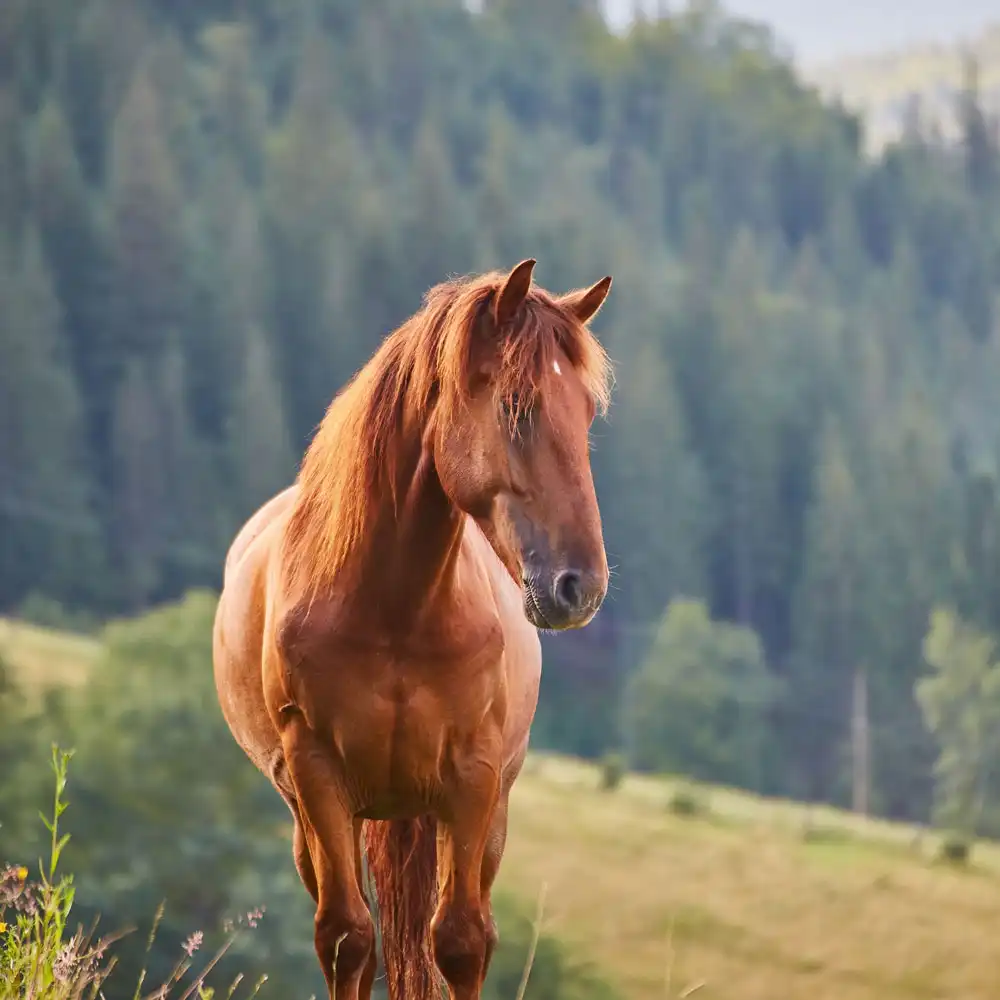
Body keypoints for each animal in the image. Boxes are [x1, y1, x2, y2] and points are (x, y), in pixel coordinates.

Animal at [212, 259, 613, 1000]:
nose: (582, 587)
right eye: (516, 406)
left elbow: (459, 942)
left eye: (587, 414)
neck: (396, 610)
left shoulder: (473, 779)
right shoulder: (318, 774)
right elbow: (347, 939)